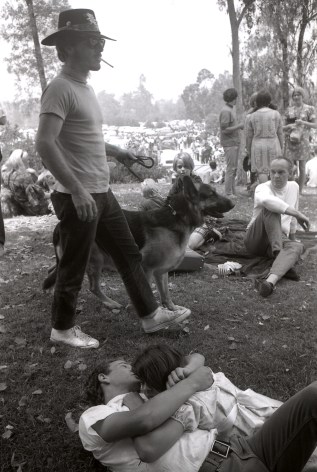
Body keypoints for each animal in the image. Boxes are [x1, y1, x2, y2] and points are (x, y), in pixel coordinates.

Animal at [43, 176, 233, 310]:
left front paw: (171, 309)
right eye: (212, 194)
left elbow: (166, 294)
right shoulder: (146, 269)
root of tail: (60, 224)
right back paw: (109, 303)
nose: (233, 203)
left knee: (53, 273)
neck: (177, 216)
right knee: (92, 287)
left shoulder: (161, 272)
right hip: (95, 261)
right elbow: (147, 291)